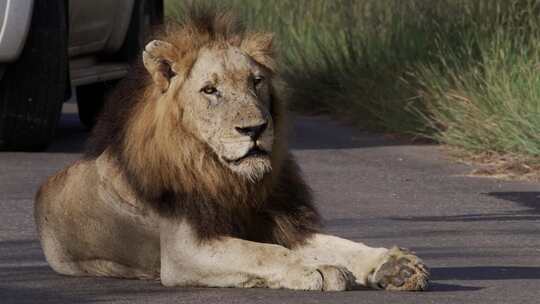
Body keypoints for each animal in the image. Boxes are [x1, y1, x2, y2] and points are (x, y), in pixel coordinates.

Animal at [34, 8, 430, 290]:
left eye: (256, 82)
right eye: (210, 90)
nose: (255, 129)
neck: (231, 180)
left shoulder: (277, 220)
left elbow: (338, 243)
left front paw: (393, 264)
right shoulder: (183, 251)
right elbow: (260, 253)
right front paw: (315, 269)